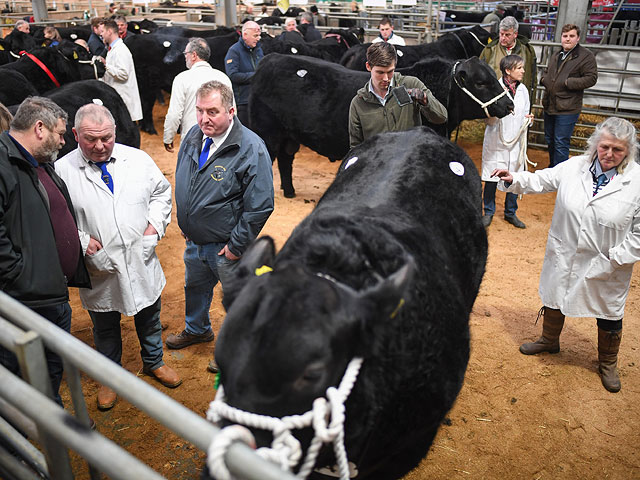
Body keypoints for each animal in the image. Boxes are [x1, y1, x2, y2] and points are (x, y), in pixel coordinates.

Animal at [250, 55, 516, 198]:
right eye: (481, 82)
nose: (509, 104)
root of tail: (269, 59)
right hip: (269, 133)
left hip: (289, 137)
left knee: (286, 161)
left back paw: (290, 191)